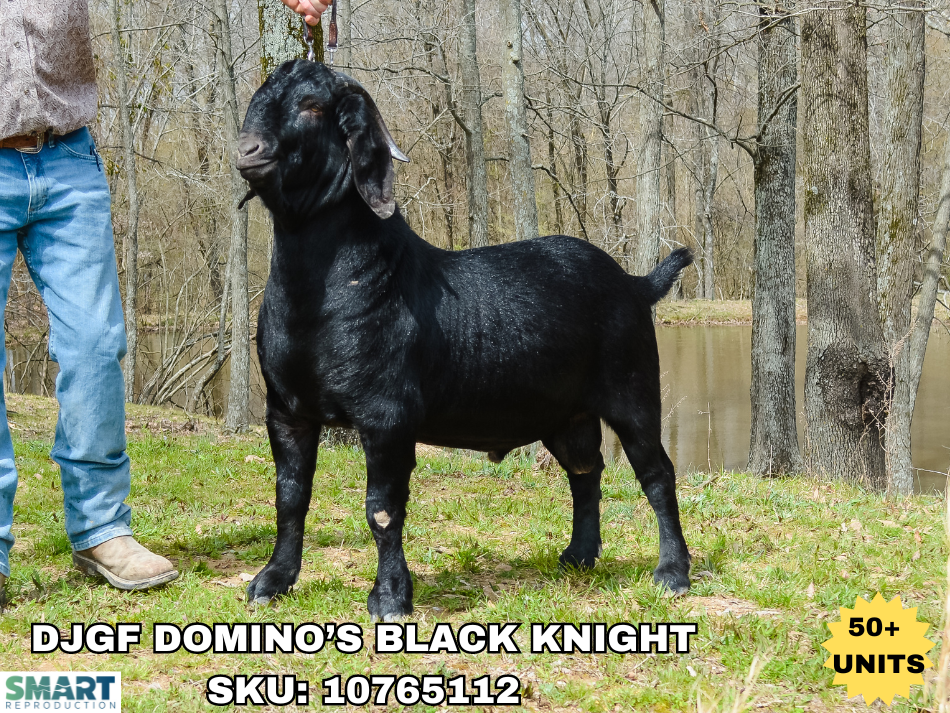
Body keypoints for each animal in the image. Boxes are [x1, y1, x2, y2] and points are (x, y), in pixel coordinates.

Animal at [236, 60, 692, 620]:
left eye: (313, 106)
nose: (248, 149)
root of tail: (635, 283)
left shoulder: (386, 417)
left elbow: (382, 509)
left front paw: (390, 597)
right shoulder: (285, 411)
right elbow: (290, 498)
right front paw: (272, 580)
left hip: (632, 391)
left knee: (657, 474)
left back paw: (672, 573)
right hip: (568, 415)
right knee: (585, 471)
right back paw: (579, 555)